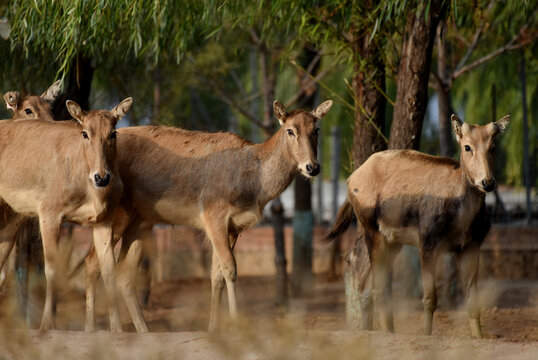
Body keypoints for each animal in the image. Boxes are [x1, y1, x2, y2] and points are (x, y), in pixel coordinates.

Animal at [0, 97, 132, 330]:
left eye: (113, 132)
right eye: (85, 133)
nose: (101, 177)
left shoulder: (103, 221)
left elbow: (109, 271)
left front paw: (117, 329)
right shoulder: (50, 214)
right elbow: (52, 270)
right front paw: (46, 325)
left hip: (10, 221)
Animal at [85, 99, 330, 332]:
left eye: (316, 129)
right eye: (290, 130)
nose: (312, 167)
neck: (255, 186)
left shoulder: (233, 227)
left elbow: (216, 274)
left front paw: (213, 327)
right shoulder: (213, 216)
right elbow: (230, 269)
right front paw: (234, 323)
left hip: (142, 219)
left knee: (124, 272)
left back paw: (144, 329)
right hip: (115, 212)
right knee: (94, 261)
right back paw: (96, 328)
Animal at [326, 114, 506, 338]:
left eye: (493, 146)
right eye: (467, 146)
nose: (487, 182)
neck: (463, 216)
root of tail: (350, 179)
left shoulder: (471, 245)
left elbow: (473, 303)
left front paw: (478, 337)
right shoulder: (428, 242)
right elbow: (429, 299)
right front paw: (427, 334)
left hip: (393, 241)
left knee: (371, 289)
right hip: (372, 231)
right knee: (377, 289)